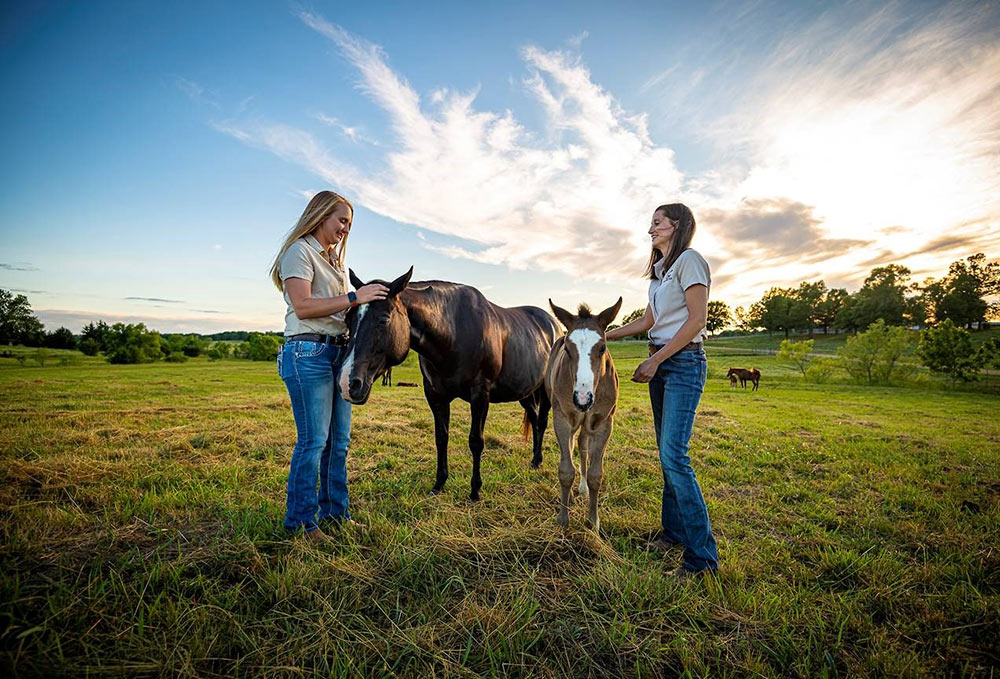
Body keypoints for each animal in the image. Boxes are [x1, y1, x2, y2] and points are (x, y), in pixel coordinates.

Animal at [544, 300, 620, 532]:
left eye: (602, 348)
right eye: (568, 349)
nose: (582, 398)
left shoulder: (603, 423)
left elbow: (596, 474)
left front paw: (593, 521)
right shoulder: (562, 418)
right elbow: (565, 470)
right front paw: (563, 518)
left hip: (588, 424)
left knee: (583, 446)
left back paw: (583, 488)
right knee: (570, 445)